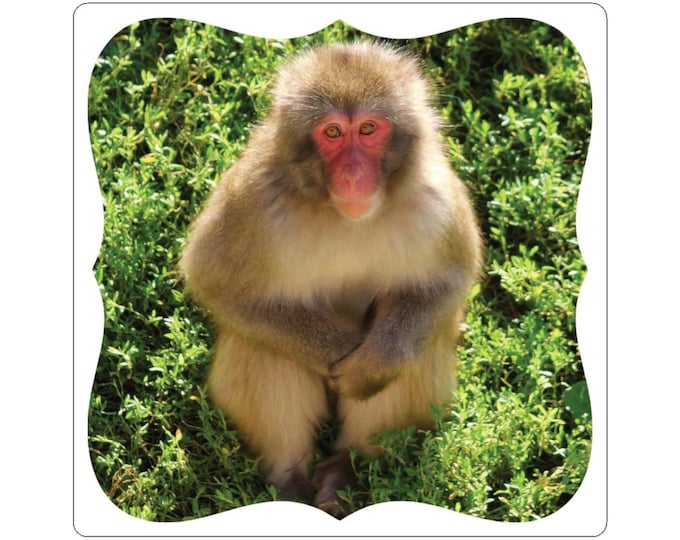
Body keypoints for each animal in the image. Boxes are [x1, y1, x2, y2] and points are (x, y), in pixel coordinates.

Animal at [179, 41, 483, 517]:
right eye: (333, 133)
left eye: (369, 129)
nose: (354, 174)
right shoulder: (254, 198)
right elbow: (217, 283)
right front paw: (336, 351)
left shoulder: (435, 200)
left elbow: (445, 284)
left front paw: (370, 368)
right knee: (264, 346)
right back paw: (290, 478)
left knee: (417, 346)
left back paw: (346, 466)